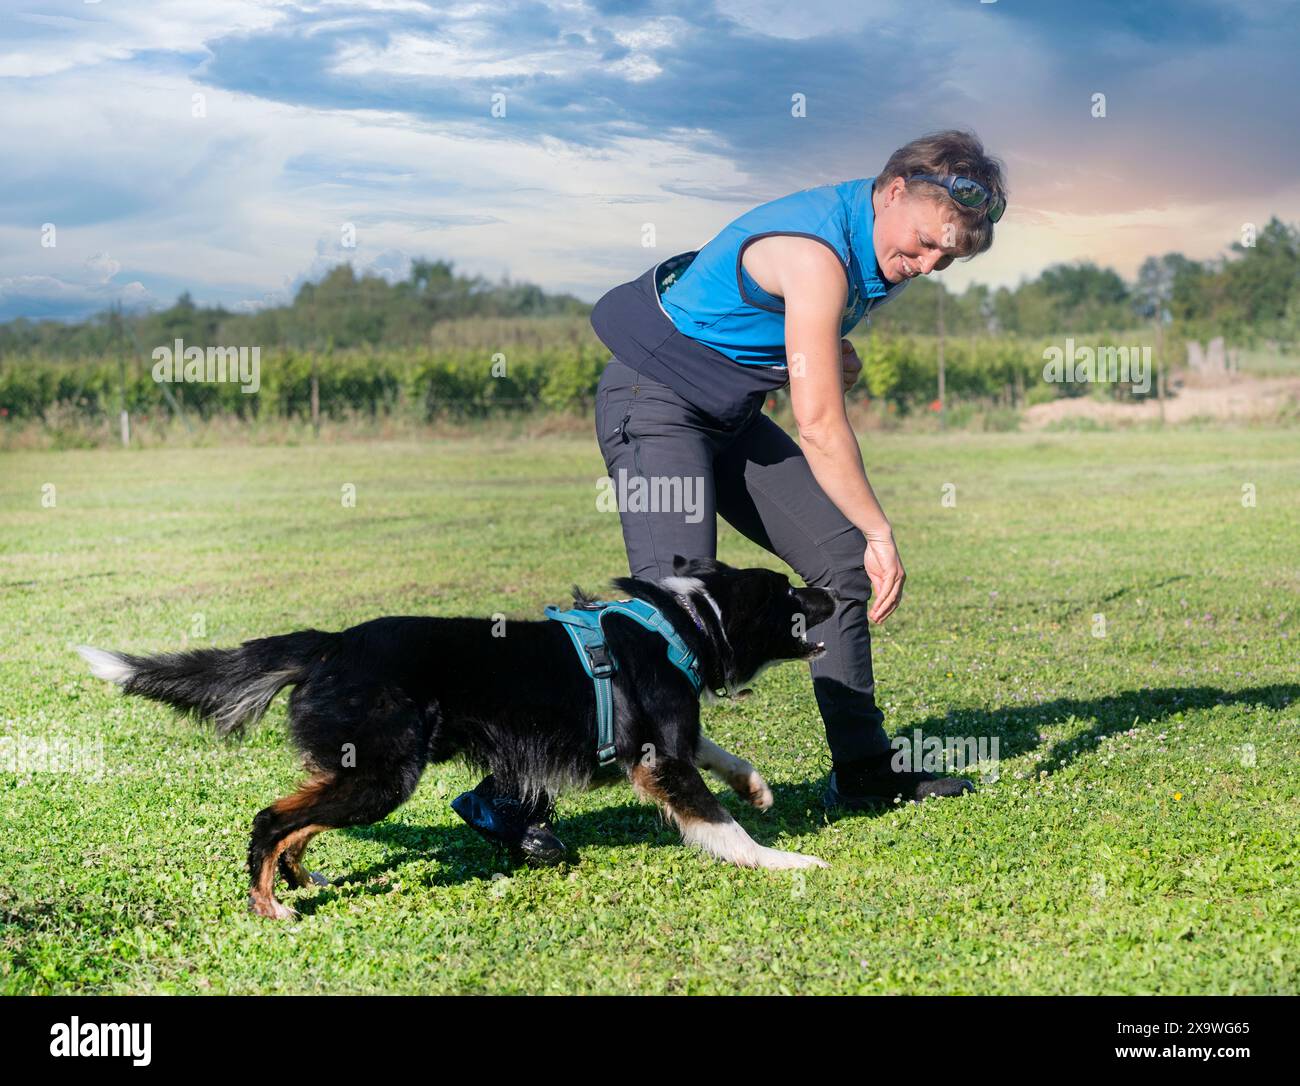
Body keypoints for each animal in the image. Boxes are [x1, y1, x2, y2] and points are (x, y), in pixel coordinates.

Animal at [81, 551, 837, 915]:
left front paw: (757, 787)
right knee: (272, 818)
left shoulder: (663, 742)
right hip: (383, 774)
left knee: (298, 819)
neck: (691, 621)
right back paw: (269, 906)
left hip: (361, 770)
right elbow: (721, 825)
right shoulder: (658, 759)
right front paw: (784, 862)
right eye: (790, 594)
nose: (832, 590)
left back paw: (299, 878)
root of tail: (330, 644)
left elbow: (716, 750)